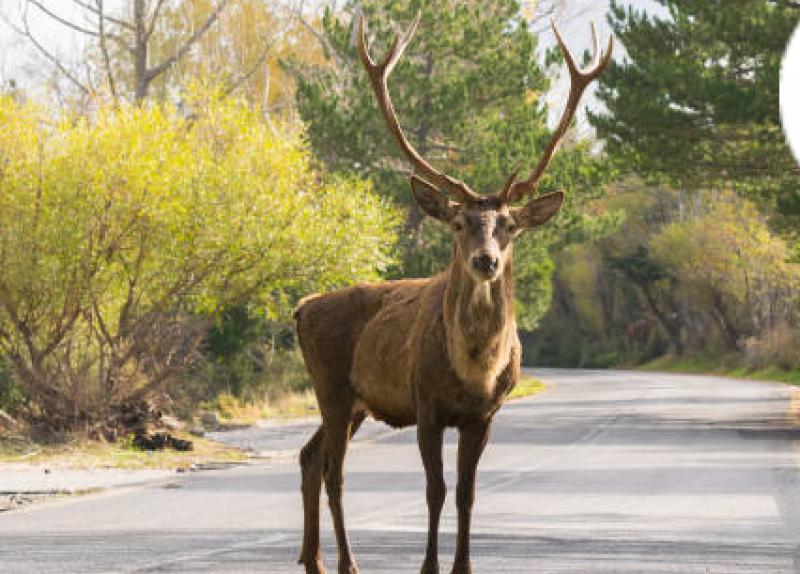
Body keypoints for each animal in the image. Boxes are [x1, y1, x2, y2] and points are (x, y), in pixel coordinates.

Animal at [293, 13, 612, 574]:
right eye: (460, 223)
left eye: (509, 225)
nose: (486, 260)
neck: (474, 373)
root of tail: (301, 308)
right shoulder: (426, 405)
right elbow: (435, 491)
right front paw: (429, 567)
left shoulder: (483, 417)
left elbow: (466, 493)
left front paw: (463, 565)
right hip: (330, 384)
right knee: (333, 471)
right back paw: (347, 562)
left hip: (356, 401)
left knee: (310, 458)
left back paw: (313, 560)